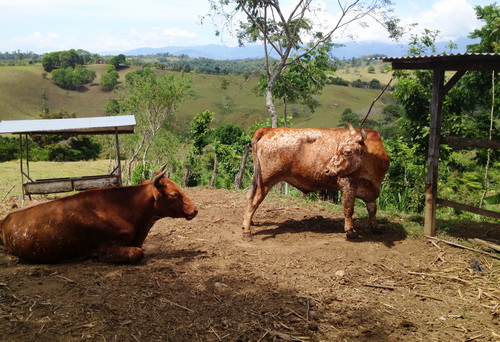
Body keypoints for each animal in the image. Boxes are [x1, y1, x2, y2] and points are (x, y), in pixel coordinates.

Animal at [242, 124, 390, 239]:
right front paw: (350, 232)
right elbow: (349, 209)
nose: (327, 170)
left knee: (250, 197)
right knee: (254, 202)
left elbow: (372, 209)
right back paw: (247, 230)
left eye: (347, 151)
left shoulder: (371, 191)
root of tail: (269, 130)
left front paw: (376, 228)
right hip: (266, 180)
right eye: (339, 148)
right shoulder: (347, 183)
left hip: (258, 179)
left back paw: (249, 223)